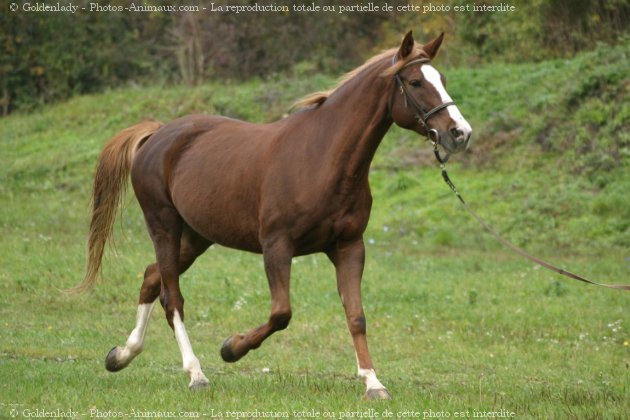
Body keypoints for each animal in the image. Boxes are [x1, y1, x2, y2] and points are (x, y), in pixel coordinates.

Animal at [78, 31, 474, 398]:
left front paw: (373, 383)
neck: (322, 157)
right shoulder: (277, 246)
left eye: (442, 78)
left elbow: (356, 316)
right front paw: (231, 348)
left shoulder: (349, 246)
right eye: (416, 82)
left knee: (150, 277)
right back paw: (196, 374)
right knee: (171, 297)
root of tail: (157, 134)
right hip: (164, 226)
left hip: (196, 236)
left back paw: (121, 355)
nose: (460, 133)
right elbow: (281, 313)